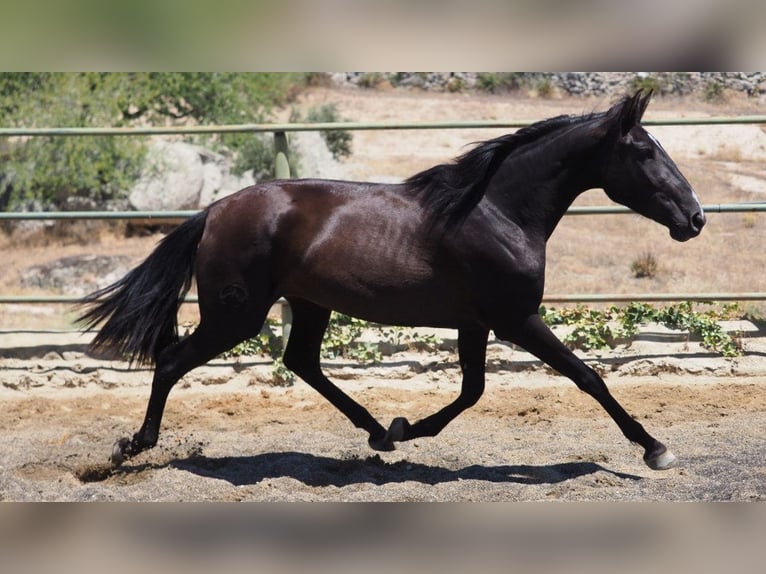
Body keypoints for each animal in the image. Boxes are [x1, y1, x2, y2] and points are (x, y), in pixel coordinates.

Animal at [81, 92, 704, 472]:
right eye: (644, 150)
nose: (695, 218)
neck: (496, 211)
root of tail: (212, 211)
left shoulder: (476, 323)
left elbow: (472, 391)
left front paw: (406, 429)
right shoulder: (516, 319)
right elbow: (587, 377)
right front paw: (656, 449)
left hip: (308, 303)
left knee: (302, 362)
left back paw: (378, 431)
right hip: (237, 314)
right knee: (171, 362)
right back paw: (130, 448)